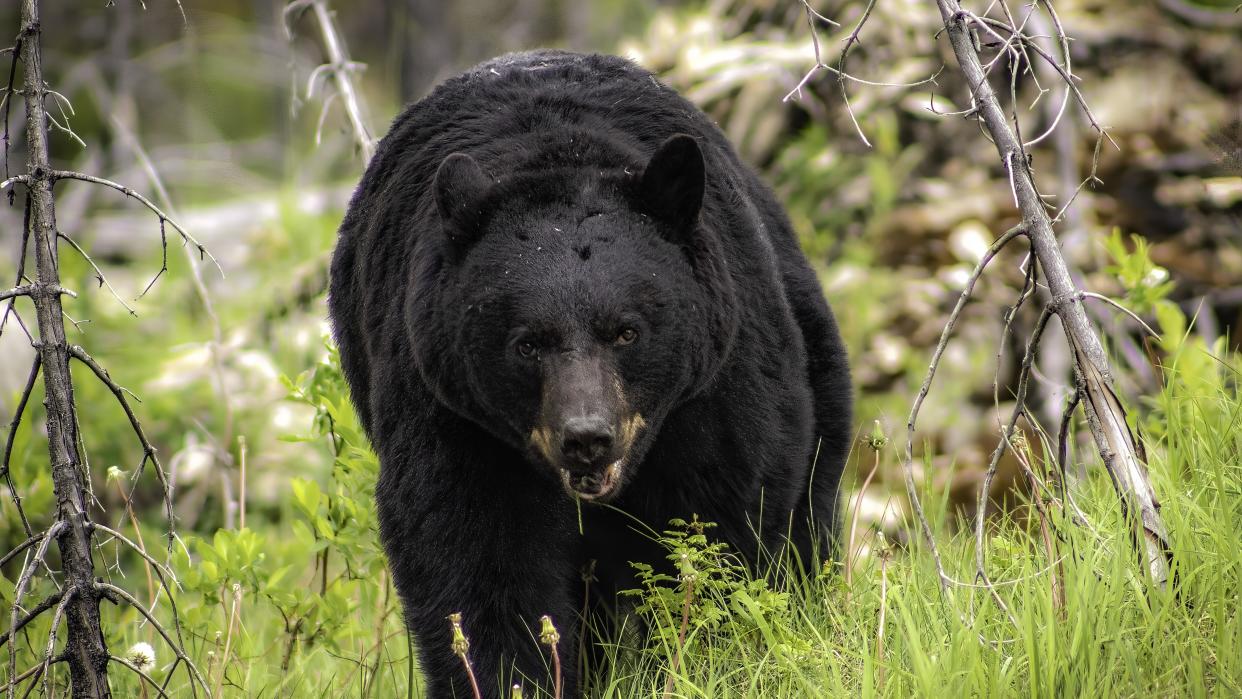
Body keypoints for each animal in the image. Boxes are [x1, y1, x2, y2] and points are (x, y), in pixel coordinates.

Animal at [330, 51, 854, 695]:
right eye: (528, 344)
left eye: (626, 331)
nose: (586, 437)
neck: (557, 155)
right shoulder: (448, 406)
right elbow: (476, 556)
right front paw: (515, 677)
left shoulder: (715, 386)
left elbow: (721, 523)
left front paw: (707, 661)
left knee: (811, 513)